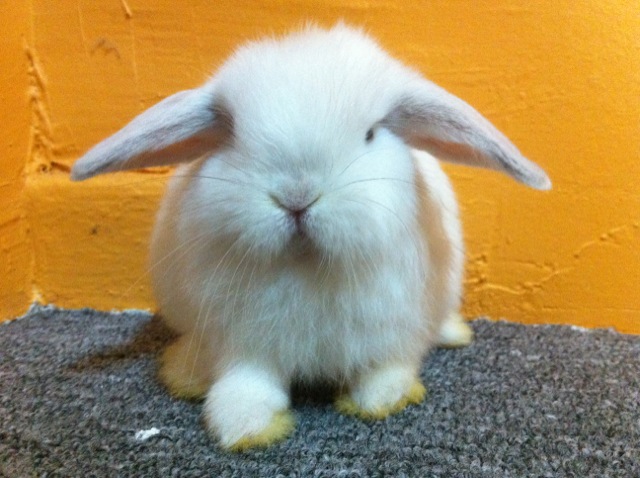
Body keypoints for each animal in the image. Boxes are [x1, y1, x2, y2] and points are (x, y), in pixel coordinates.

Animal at [71, 23, 551, 450]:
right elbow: (246, 384)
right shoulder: (244, 345)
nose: (296, 197)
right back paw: (184, 372)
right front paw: (244, 427)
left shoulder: (390, 334)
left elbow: (383, 371)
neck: (305, 264)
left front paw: (380, 401)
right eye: (233, 134)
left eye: (370, 134)